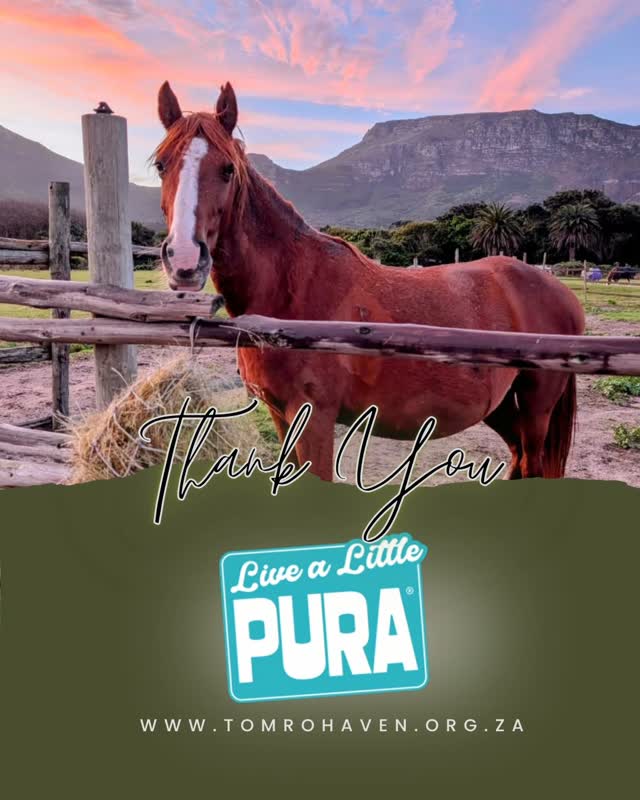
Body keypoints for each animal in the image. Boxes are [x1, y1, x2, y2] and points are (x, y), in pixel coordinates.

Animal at [153, 80, 585, 482]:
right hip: (502, 406)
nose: (185, 261)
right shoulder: (280, 415)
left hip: (536, 407)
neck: (290, 292)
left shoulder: (314, 417)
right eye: (161, 165)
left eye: (228, 169)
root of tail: (560, 292)